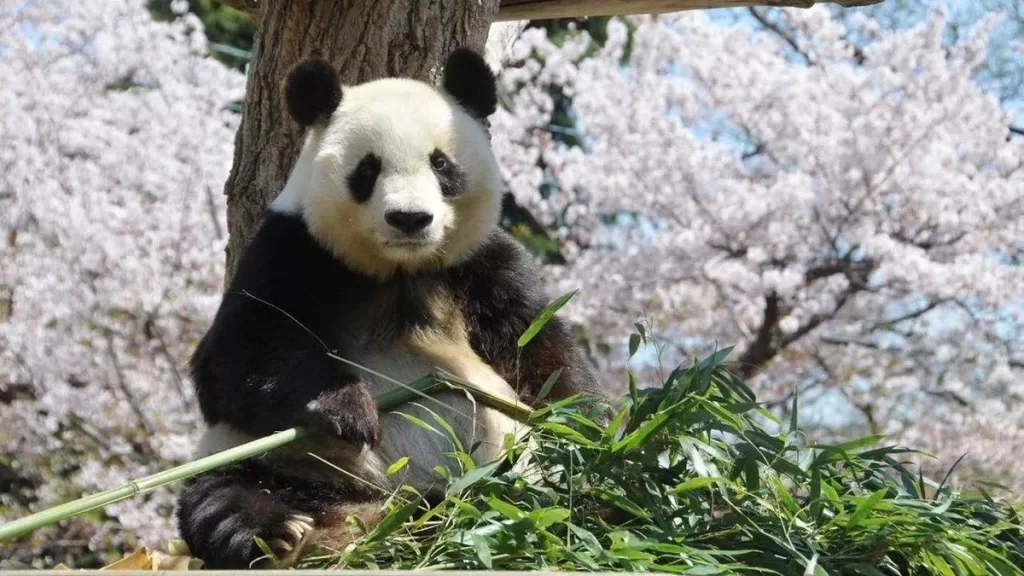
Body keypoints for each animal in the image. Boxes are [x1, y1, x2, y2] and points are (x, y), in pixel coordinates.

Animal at [176, 48, 608, 569]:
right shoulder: (293, 250)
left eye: (441, 164)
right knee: (221, 494)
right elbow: (235, 359)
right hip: (278, 461)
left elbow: (542, 350)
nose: (410, 218)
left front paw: (591, 432)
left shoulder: (482, 264)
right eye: (368, 170)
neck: (401, 270)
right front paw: (349, 409)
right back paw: (275, 530)